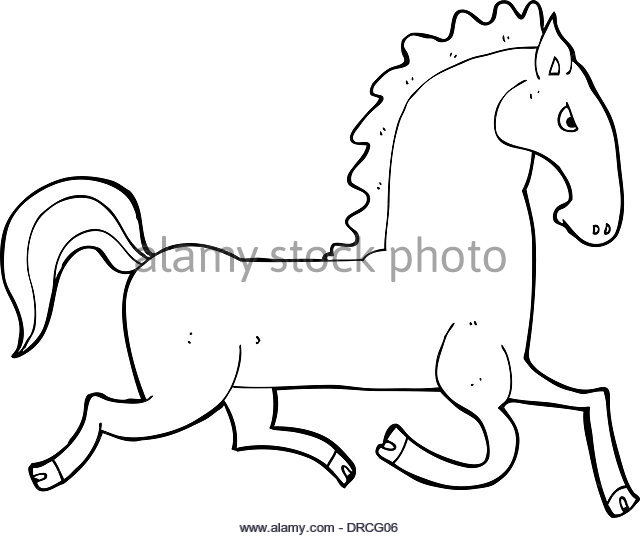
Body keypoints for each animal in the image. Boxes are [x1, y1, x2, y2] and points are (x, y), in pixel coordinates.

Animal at [1, 1, 636, 517]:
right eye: (570, 119)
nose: (600, 225)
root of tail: (139, 262)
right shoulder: (471, 387)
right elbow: (504, 451)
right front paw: (397, 445)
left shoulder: (512, 375)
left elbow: (592, 398)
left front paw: (620, 498)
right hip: (188, 394)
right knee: (102, 407)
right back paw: (47, 472)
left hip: (246, 388)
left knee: (248, 434)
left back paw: (338, 461)